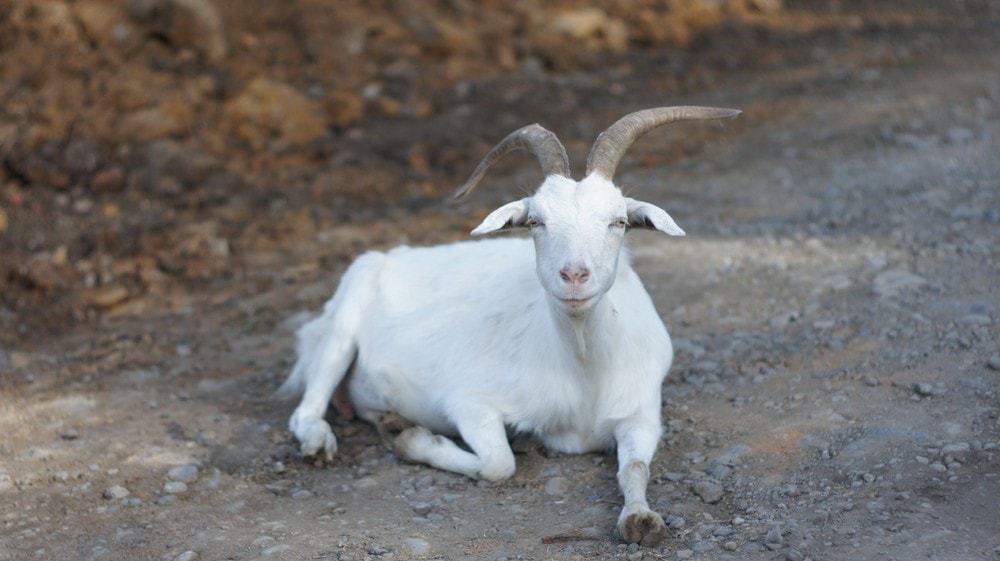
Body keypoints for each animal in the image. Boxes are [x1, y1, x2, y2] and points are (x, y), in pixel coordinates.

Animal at [279, 106, 740, 545]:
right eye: (536, 221)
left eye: (619, 221)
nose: (574, 275)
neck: (584, 373)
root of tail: (388, 257)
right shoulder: (469, 401)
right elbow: (499, 463)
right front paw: (414, 441)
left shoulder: (642, 413)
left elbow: (637, 467)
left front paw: (641, 520)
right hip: (343, 322)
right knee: (307, 406)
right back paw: (325, 441)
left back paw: (386, 419)